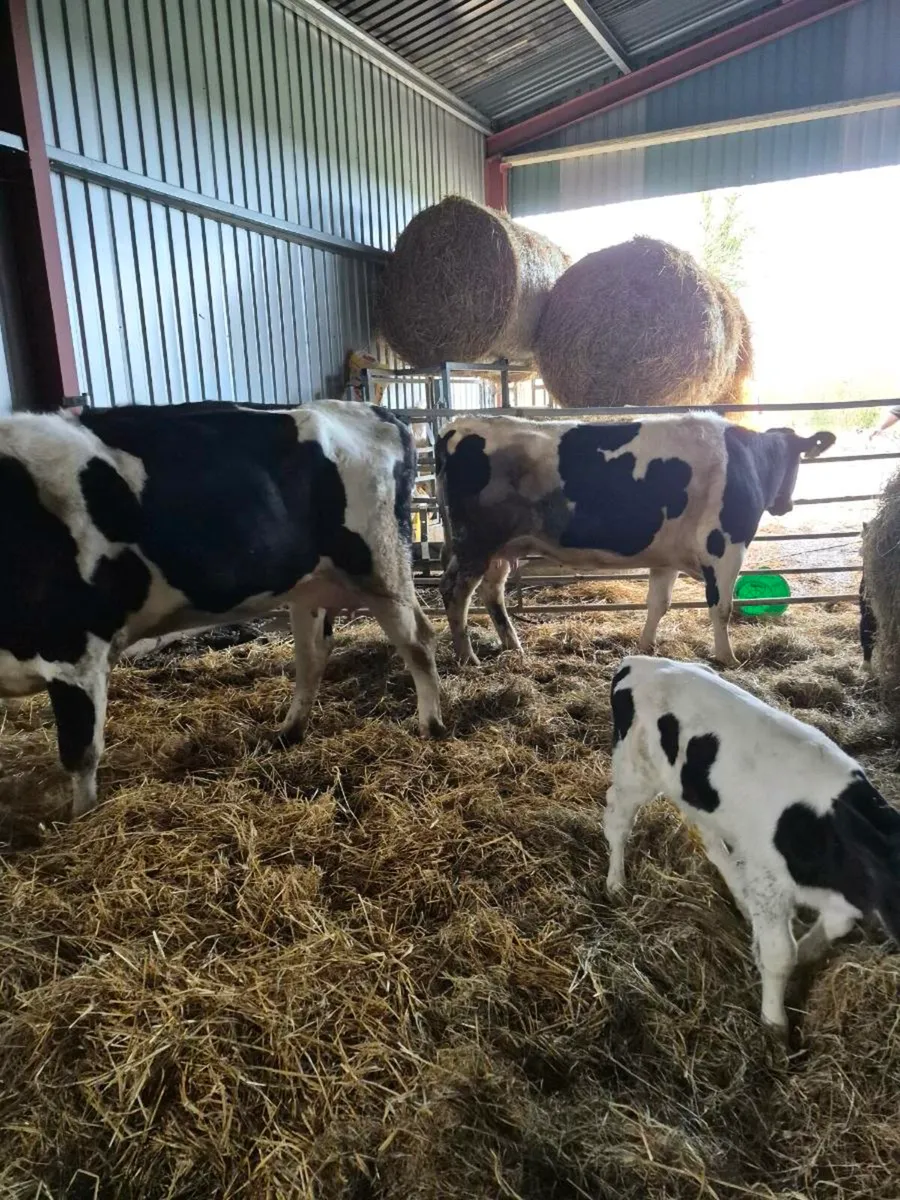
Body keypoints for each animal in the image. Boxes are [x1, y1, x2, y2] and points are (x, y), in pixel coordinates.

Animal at [0, 399, 445, 818]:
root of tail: (377, 411)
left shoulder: (74, 648)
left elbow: (81, 751)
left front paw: (82, 820)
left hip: (380, 565)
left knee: (418, 640)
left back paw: (431, 724)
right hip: (310, 584)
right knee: (313, 655)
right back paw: (289, 731)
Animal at [434, 413, 836, 667]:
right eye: (798, 460)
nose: (785, 505)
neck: (747, 460)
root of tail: (458, 425)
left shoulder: (667, 558)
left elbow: (658, 604)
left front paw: (645, 647)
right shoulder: (726, 548)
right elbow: (721, 606)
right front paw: (728, 658)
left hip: (500, 548)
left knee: (492, 593)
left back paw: (513, 647)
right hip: (475, 543)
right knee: (455, 592)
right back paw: (467, 657)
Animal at [604, 655, 900, 1033]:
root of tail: (636, 662)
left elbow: (832, 928)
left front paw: (804, 949)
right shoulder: (770, 880)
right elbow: (780, 954)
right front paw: (775, 1023)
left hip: (699, 796)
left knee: (711, 841)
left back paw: (741, 900)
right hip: (635, 771)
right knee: (617, 820)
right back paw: (616, 884)